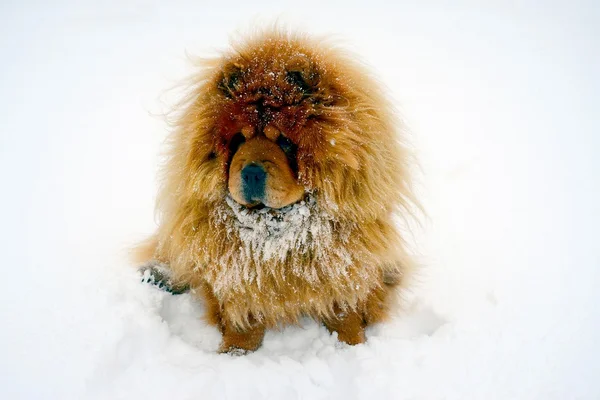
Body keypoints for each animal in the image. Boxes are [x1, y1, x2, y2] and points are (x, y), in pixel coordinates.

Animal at [135, 28, 418, 354]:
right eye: (238, 140)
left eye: (284, 141)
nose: (252, 171)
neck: (276, 236)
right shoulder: (234, 275)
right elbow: (239, 314)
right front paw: (236, 353)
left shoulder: (346, 265)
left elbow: (345, 309)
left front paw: (351, 346)